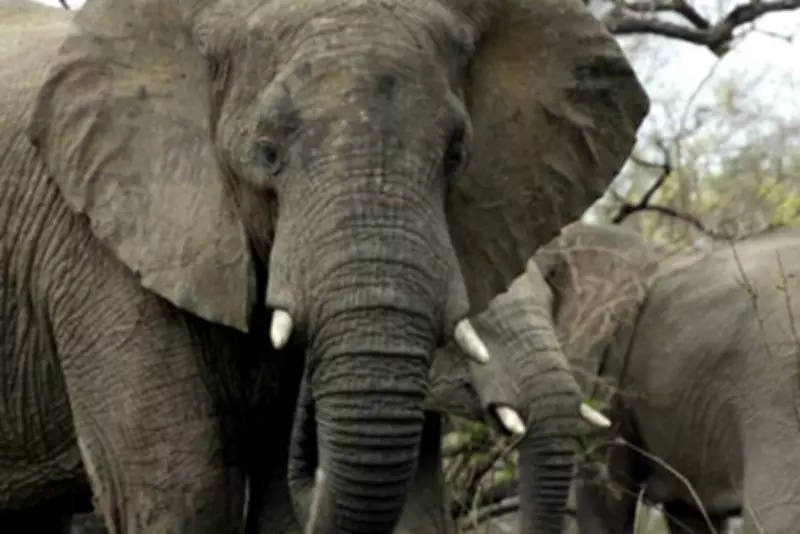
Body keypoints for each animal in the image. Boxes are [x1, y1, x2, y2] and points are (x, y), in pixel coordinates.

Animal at [1, 0, 648, 531]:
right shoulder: (95, 243)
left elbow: (277, 507)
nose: (310, 432)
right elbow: (178, 489)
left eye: (456, 154)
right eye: (266, 154)